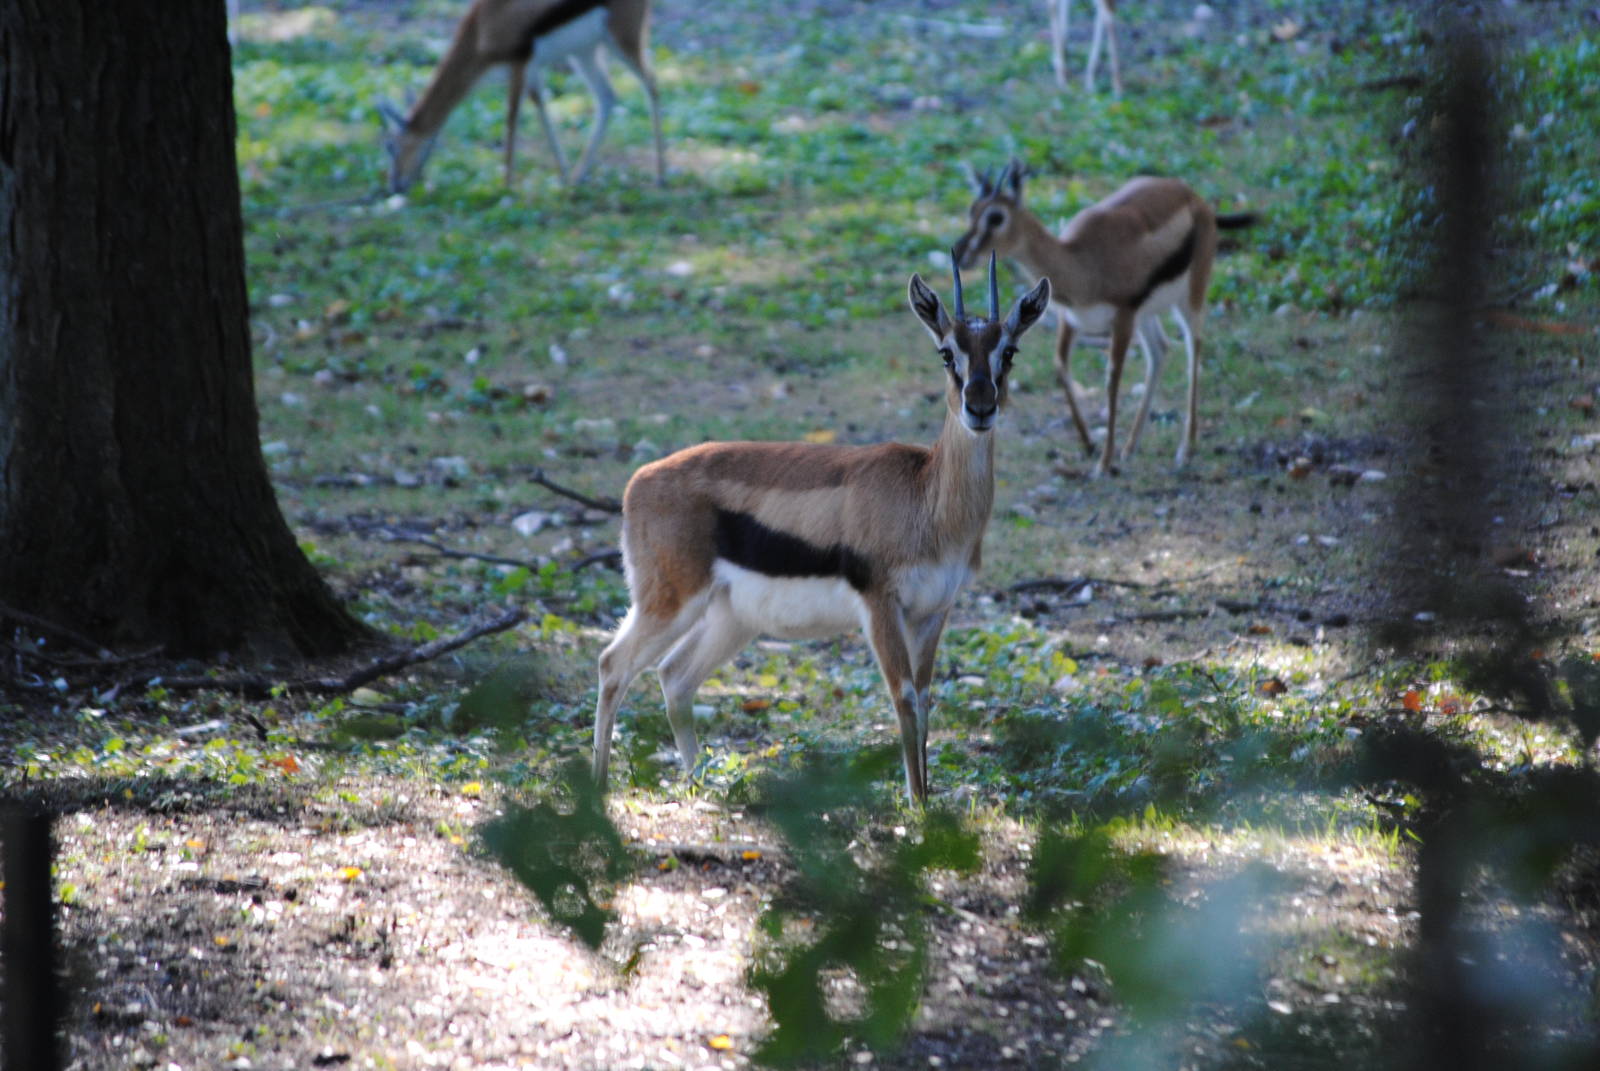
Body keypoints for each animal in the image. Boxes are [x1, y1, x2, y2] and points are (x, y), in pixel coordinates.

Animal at [377, 0, 665, 193]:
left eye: (391, 145)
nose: (395, 185)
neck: (480, 29)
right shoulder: (533, 72)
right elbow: (541, 110)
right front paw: (563, 175)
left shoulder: (519, 64)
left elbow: (512, 118)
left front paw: (506, 186)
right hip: (584, 52)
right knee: (607, 97)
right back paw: (578, 176)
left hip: (623, 39)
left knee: (652, 84)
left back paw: (661, 175)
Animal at [590, 258, 1051, 803]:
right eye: (946, 352)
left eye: (1010, 351)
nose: (979, 408)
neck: (926, 499)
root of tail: (638, 482)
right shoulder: (881, 606)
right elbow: (904, 698)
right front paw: (919, 808)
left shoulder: (933, 611)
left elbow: (925, 699)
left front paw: (928, 799)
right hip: (670, 603)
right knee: (613, 664)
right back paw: (596, 790)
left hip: (731, 618)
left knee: (674, 676)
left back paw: (704, 784)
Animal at [953, 159, 1256, 477]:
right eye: (972, 211)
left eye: (996, 217)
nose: (961, 254)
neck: (1082, 261)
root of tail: (1194, 197)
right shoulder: (1071, 320)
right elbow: (1060, 366)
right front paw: (1088, 443)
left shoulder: (1122, 318)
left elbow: (1112, 380)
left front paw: (1104, 461)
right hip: (1145, 316)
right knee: (1160, 350)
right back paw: (1131, 446)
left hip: (1190, 297)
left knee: (1193, 347)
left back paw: (1185, 448)